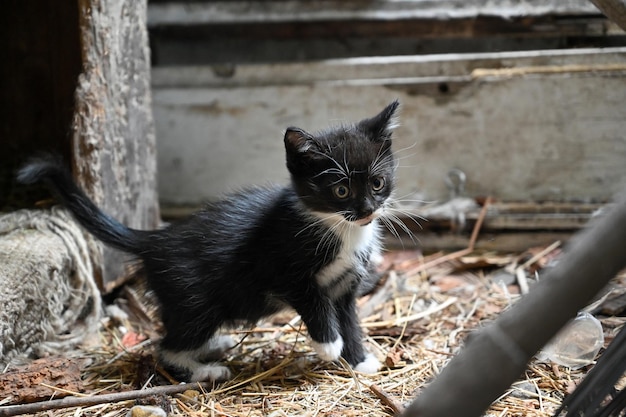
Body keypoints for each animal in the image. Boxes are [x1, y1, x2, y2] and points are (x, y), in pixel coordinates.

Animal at [19, 100, 402, 380]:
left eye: (377, 183)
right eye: (341, 191)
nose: (366, 209)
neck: (341, 229)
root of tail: (156, 240)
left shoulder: (346, 285)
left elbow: (350, 321)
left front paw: (359, 360)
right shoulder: (283, 270)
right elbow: (314, 304)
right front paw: (329, 346)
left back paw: (213, 346)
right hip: (195, 299)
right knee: (168, 346)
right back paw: (206, 370)